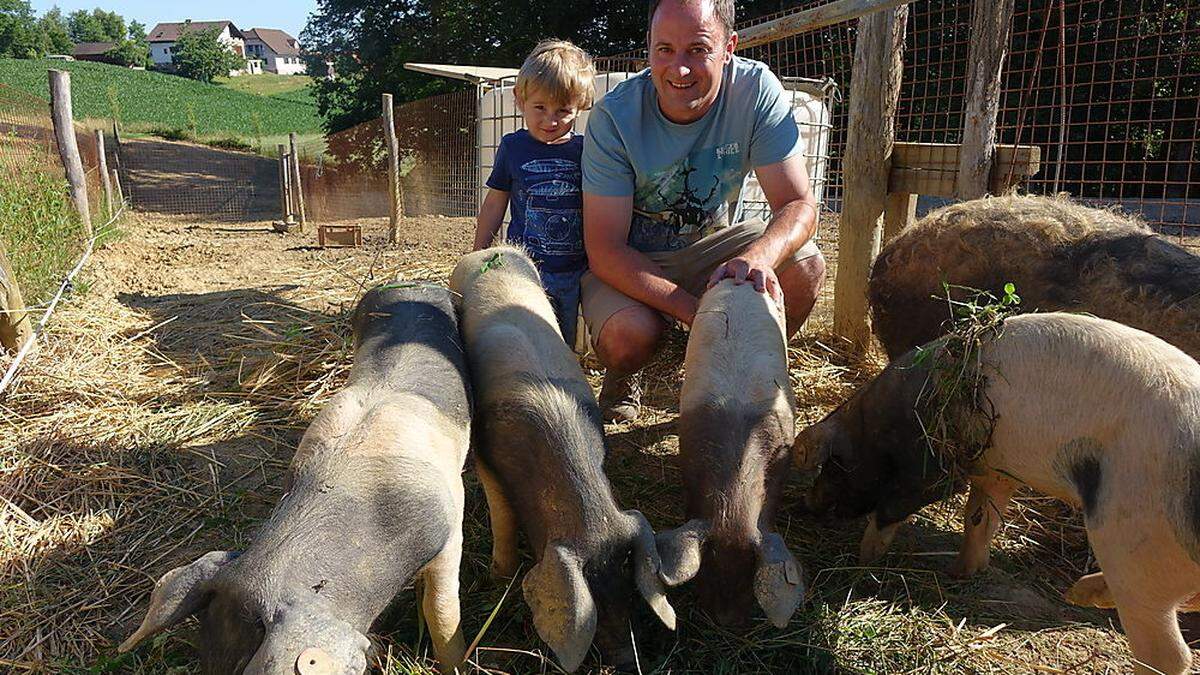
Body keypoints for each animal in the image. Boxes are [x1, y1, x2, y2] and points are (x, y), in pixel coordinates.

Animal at [451, 243, 676, 667]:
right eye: (594, 601)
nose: (628, 661)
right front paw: (499, 576)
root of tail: (495, 250)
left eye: (629, 589)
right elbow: (502, 516)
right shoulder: (488, 457)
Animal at [796, 312, 1200, 672]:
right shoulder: (996, 471)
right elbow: (978, 518)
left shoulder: (929, 465)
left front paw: (864, 560)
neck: (876, 425)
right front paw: (961, 572)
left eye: (833, 467)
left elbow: (893, 509)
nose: (808, 504)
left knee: (1167, 653)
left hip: (1134, 534)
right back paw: (1076, 594)